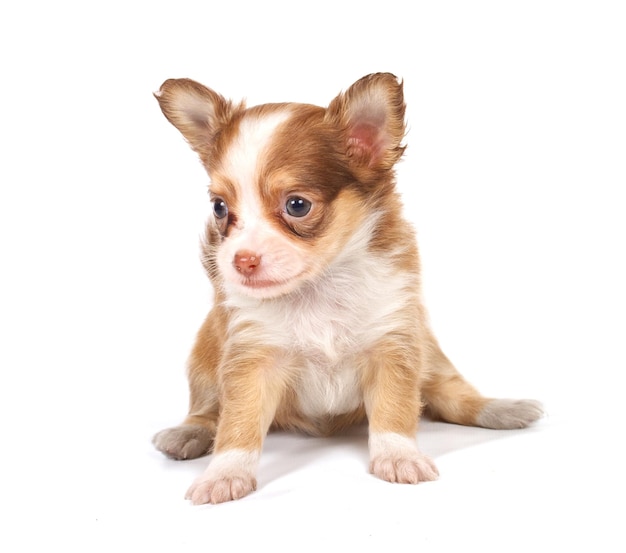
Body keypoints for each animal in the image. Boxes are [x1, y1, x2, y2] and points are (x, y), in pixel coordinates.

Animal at [151, 73, 540, 504]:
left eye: (297, 205)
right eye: (220, 208)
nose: (241, 260)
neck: (320, 287)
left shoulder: (394, 345)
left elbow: (394, 411)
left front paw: (398, 456)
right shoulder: (251, 359)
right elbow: (238, 423)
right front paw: (224, 473)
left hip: (430, 353)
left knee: (452, 395)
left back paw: (504, 408)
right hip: (205, 362)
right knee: (207, 411)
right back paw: (187, 433)